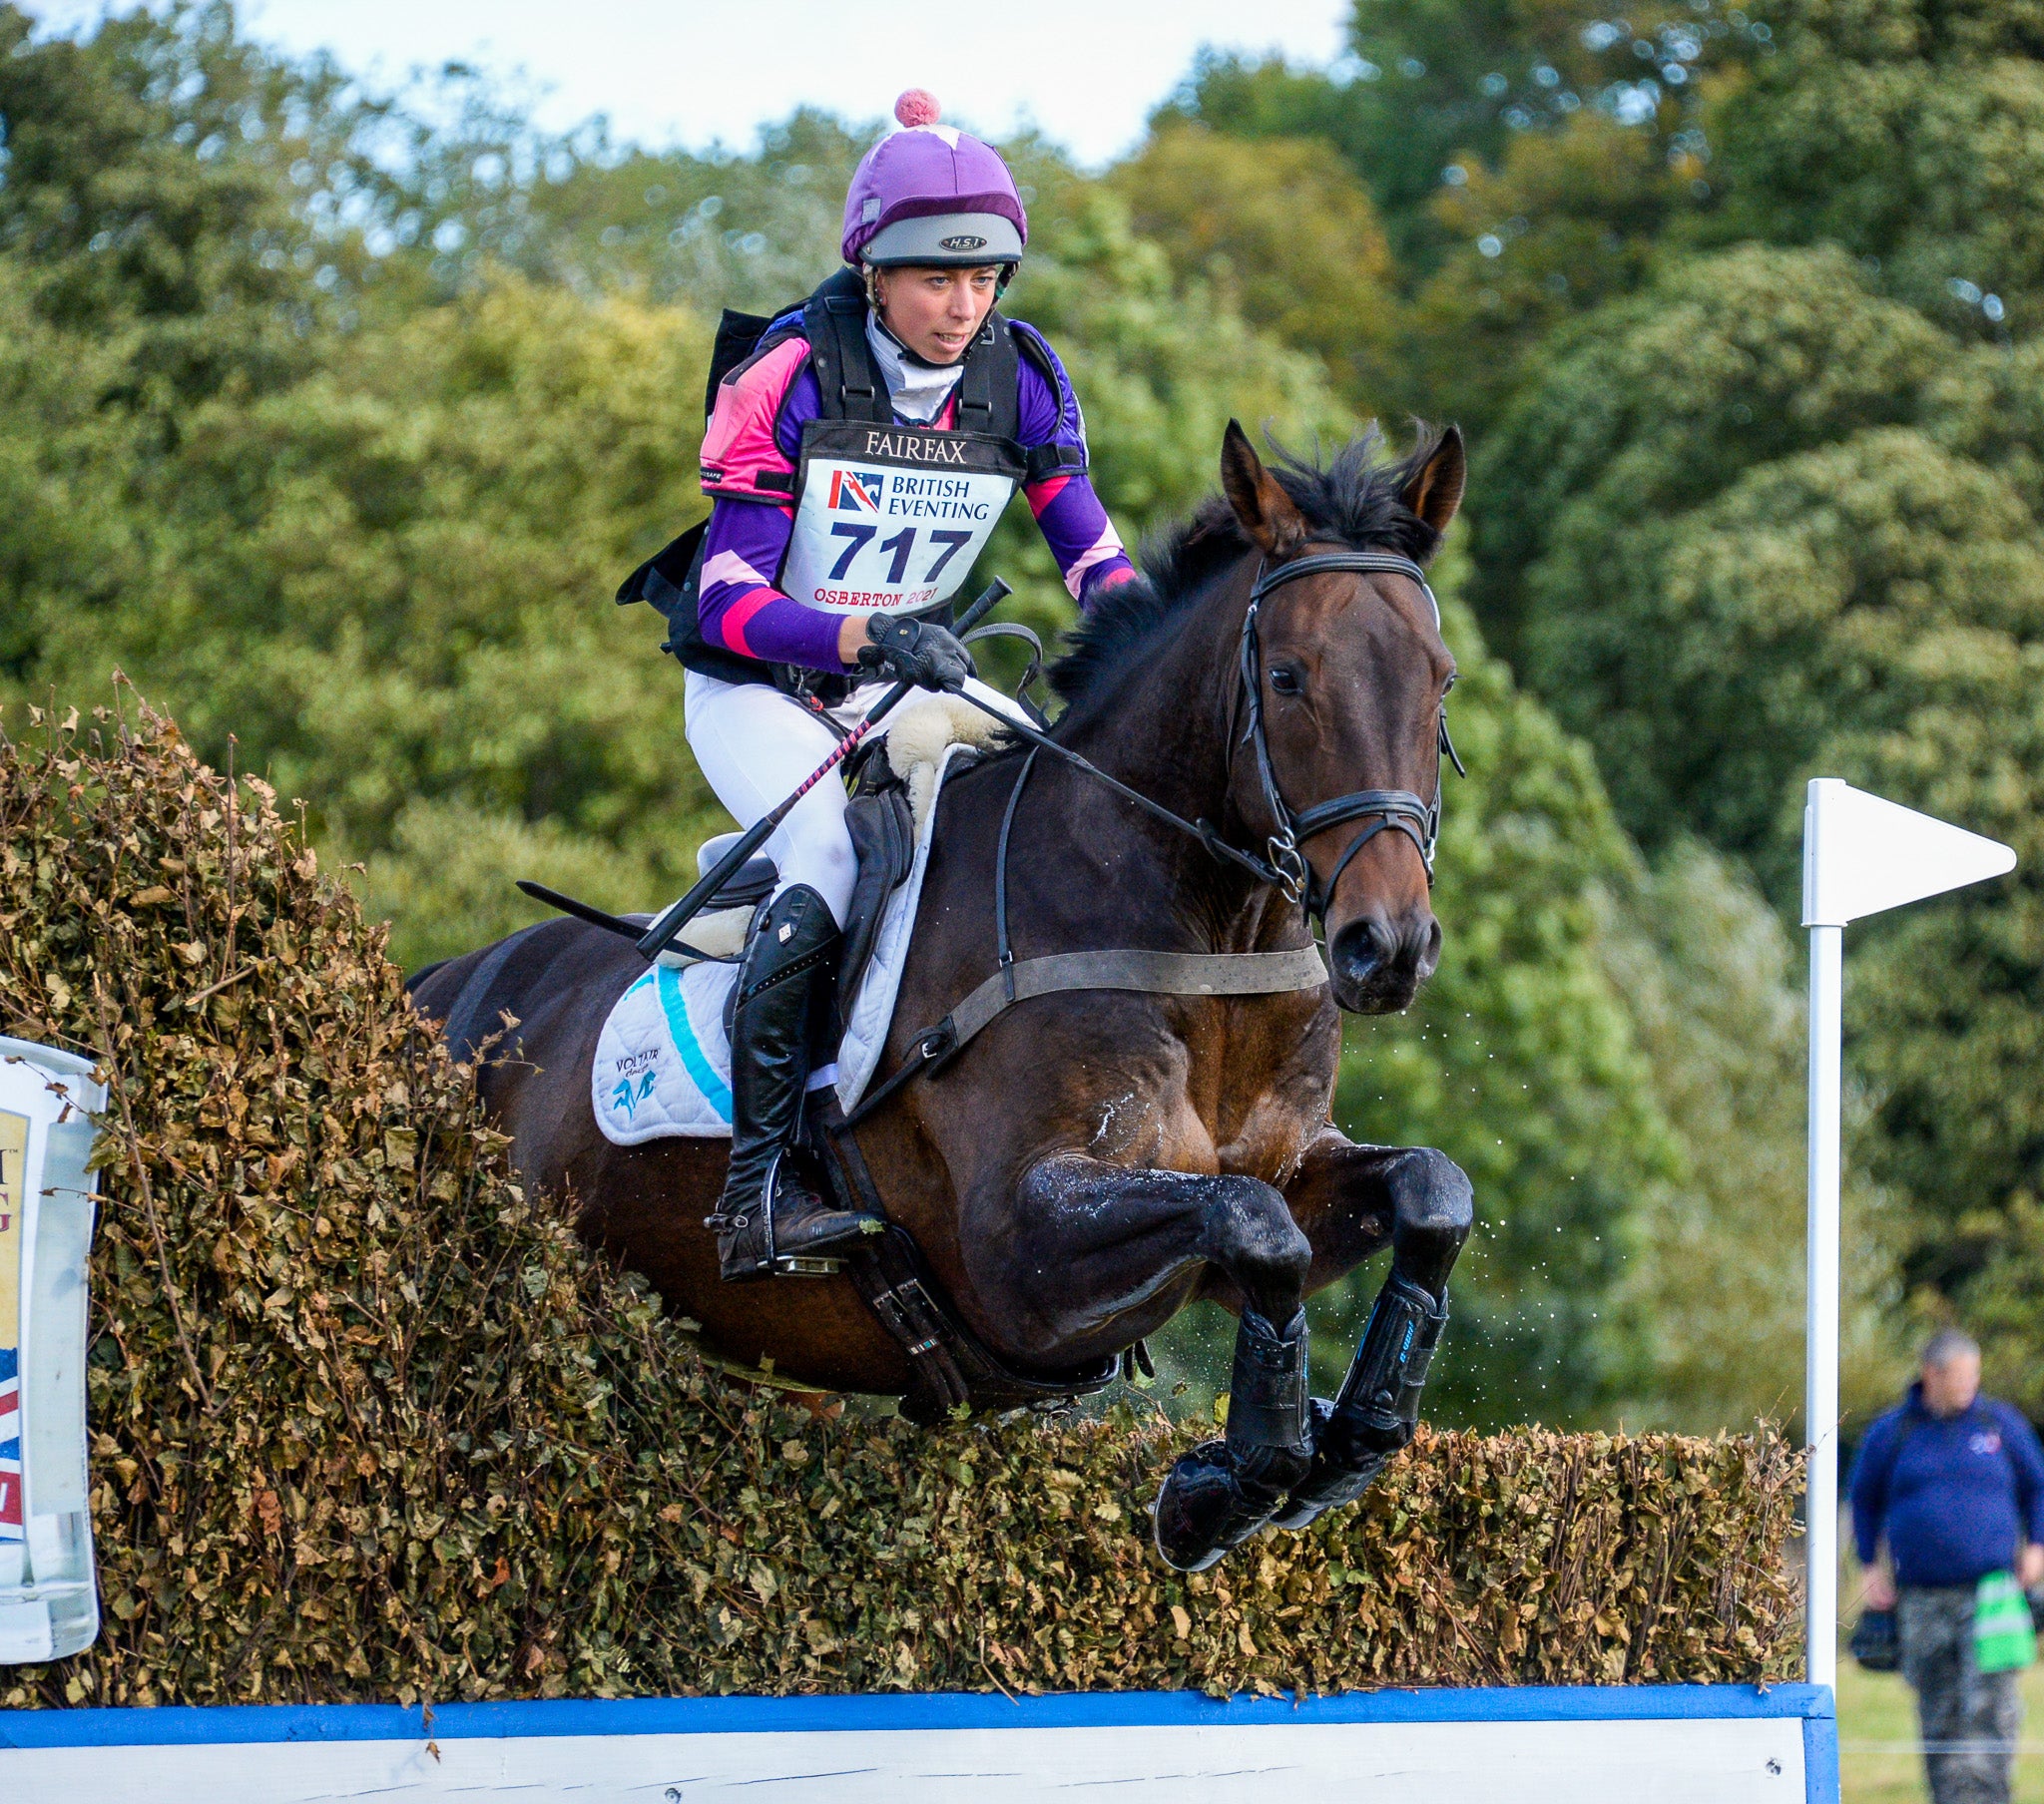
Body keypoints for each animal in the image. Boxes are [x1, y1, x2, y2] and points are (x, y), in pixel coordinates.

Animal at [410, 418, 1471, 1569]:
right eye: (1285, 676)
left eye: (1441, 681)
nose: (1386, 946)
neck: (1203, 935)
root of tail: (438, 989)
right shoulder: (1018, 1250)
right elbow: (1253, 1226)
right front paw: (1221, 1489)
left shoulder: (1278, 1181)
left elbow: (1426, 1193)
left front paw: (1346, 1442)